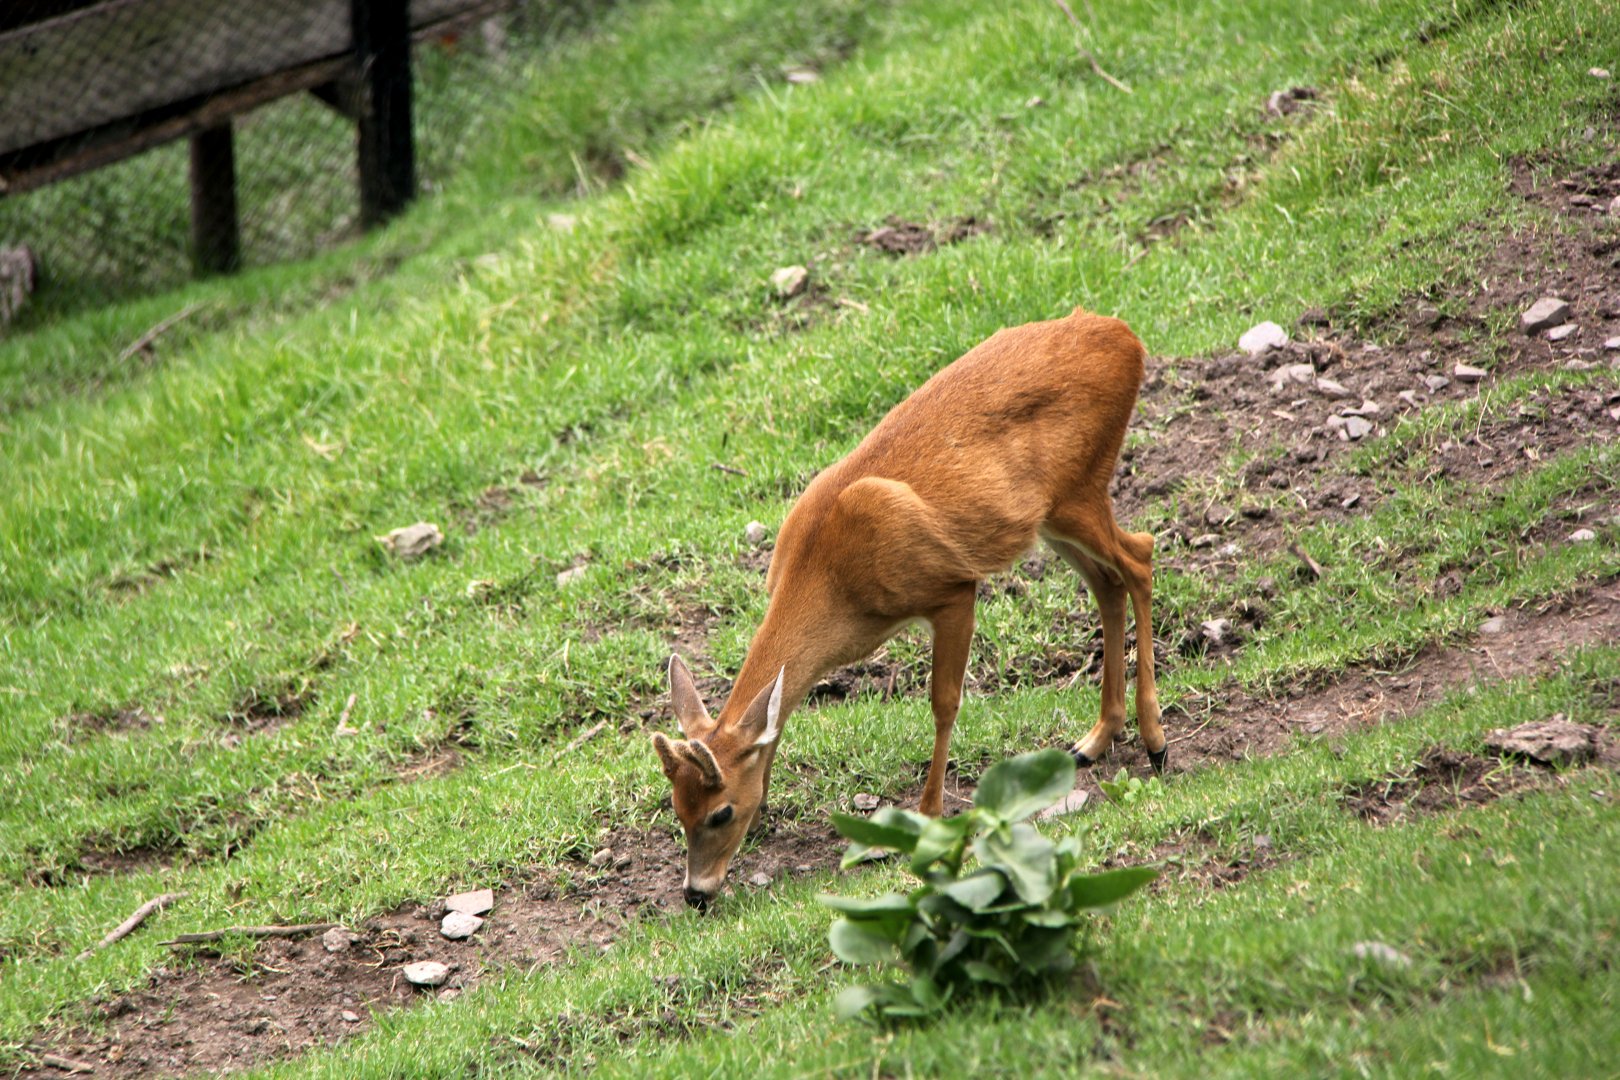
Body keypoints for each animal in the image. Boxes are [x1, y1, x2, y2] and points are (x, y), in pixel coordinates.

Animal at [652, 307, 1164, 908]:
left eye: (721, 812)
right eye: (677, 808)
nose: (697, 893)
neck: (834, 581)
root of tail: (1125, 337)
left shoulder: (951, 589)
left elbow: (943, 704)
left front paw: (930, 816)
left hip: (1080, 488)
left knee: (1141, 557)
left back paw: (1155, 742)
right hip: (1052, 517)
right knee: (1109, 583)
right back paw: (1095, 739)